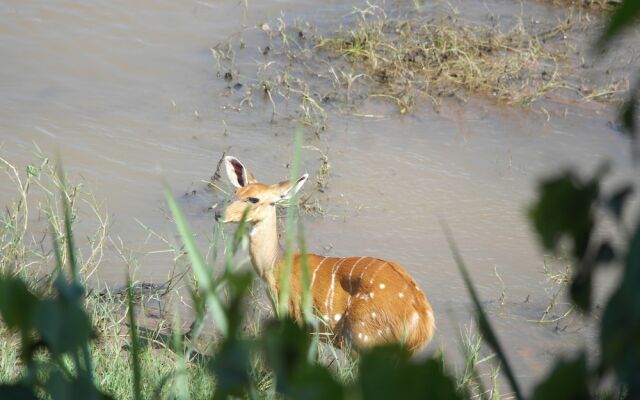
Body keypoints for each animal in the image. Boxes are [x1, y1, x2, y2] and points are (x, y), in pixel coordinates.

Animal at [215, 156, 436, 354]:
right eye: (236, 192)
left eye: (254, 199)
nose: (218, 214)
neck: (274, 265)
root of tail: (423, 322)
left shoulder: (293, 317)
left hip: (363, 338)